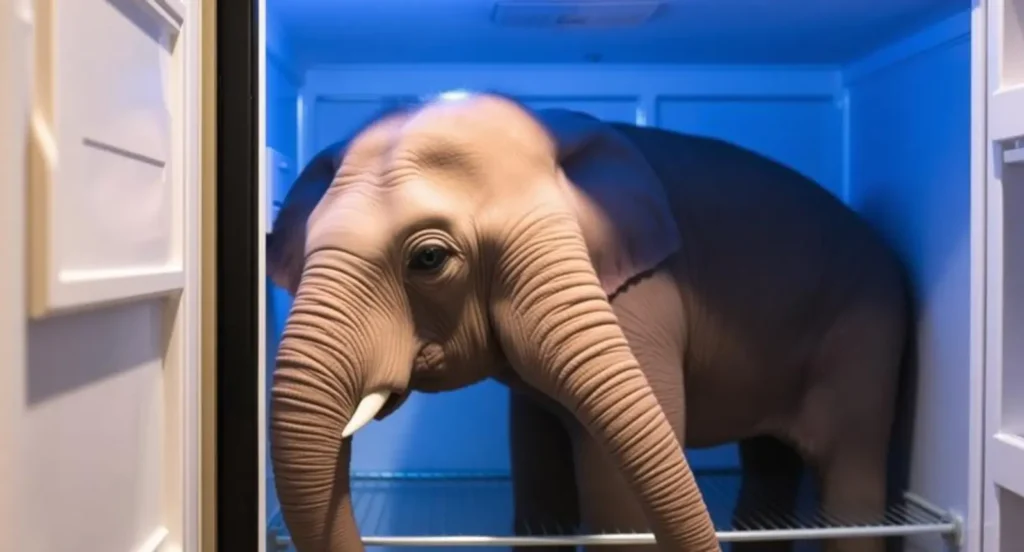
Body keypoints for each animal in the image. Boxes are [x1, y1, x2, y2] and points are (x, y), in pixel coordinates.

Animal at [266, 92, 913, 552]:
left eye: (428, 258)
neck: (553, 135)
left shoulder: (641, 304)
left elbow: (618, 500)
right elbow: (538, 480)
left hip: (868, 333)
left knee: (850, 475)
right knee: (768, 467)